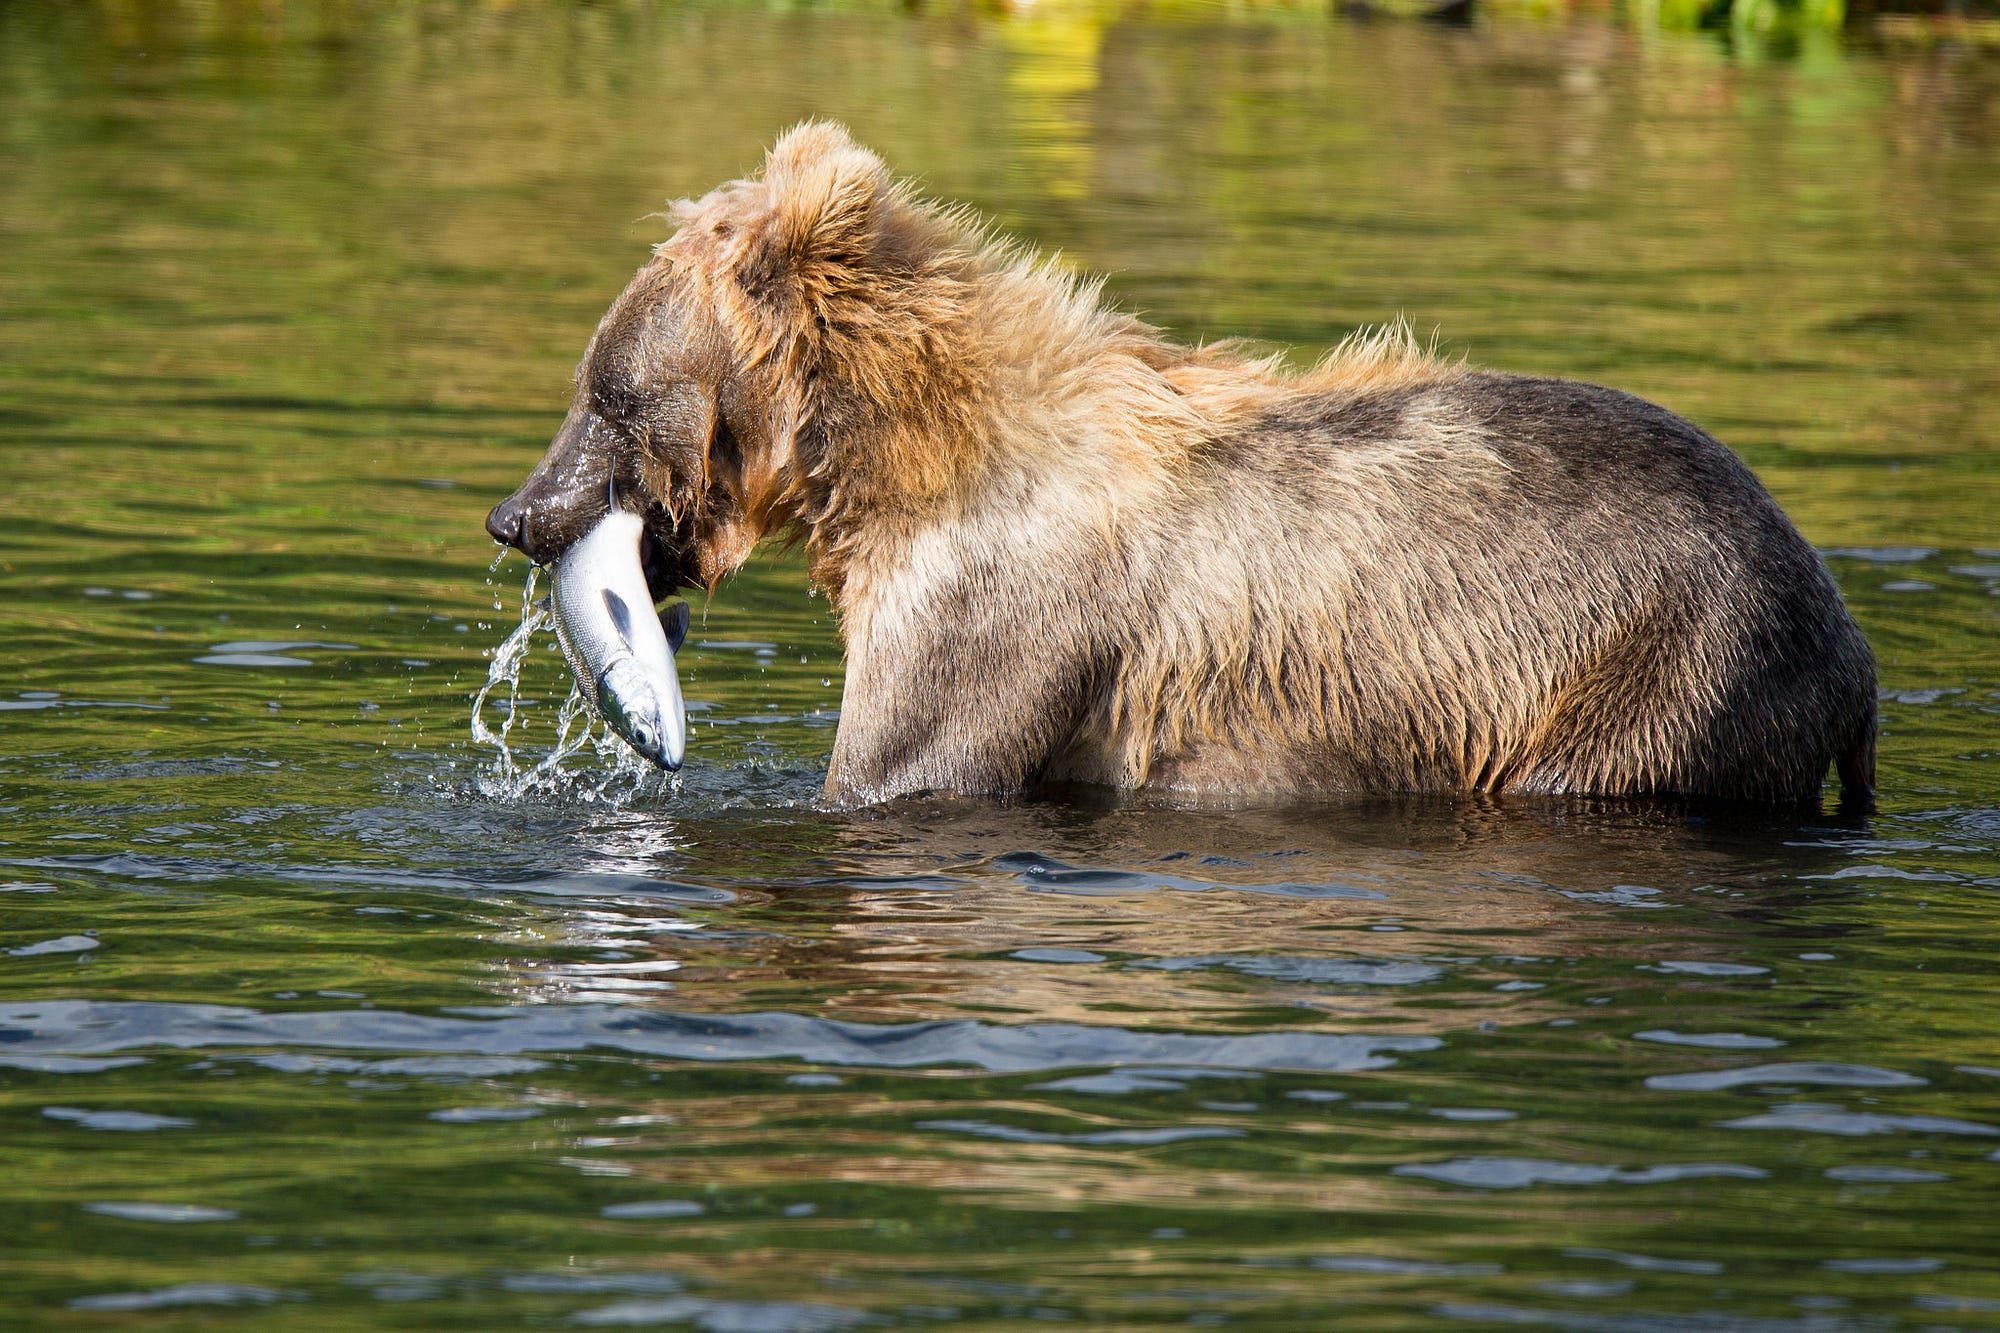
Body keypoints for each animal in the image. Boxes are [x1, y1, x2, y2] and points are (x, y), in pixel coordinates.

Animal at [484, 124, 1872, 804]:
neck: (889, 473)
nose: (517, 512)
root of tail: (1849, 647)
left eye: (604, 391)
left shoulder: (991, 612)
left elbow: (900, 770)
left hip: (1654, 669)